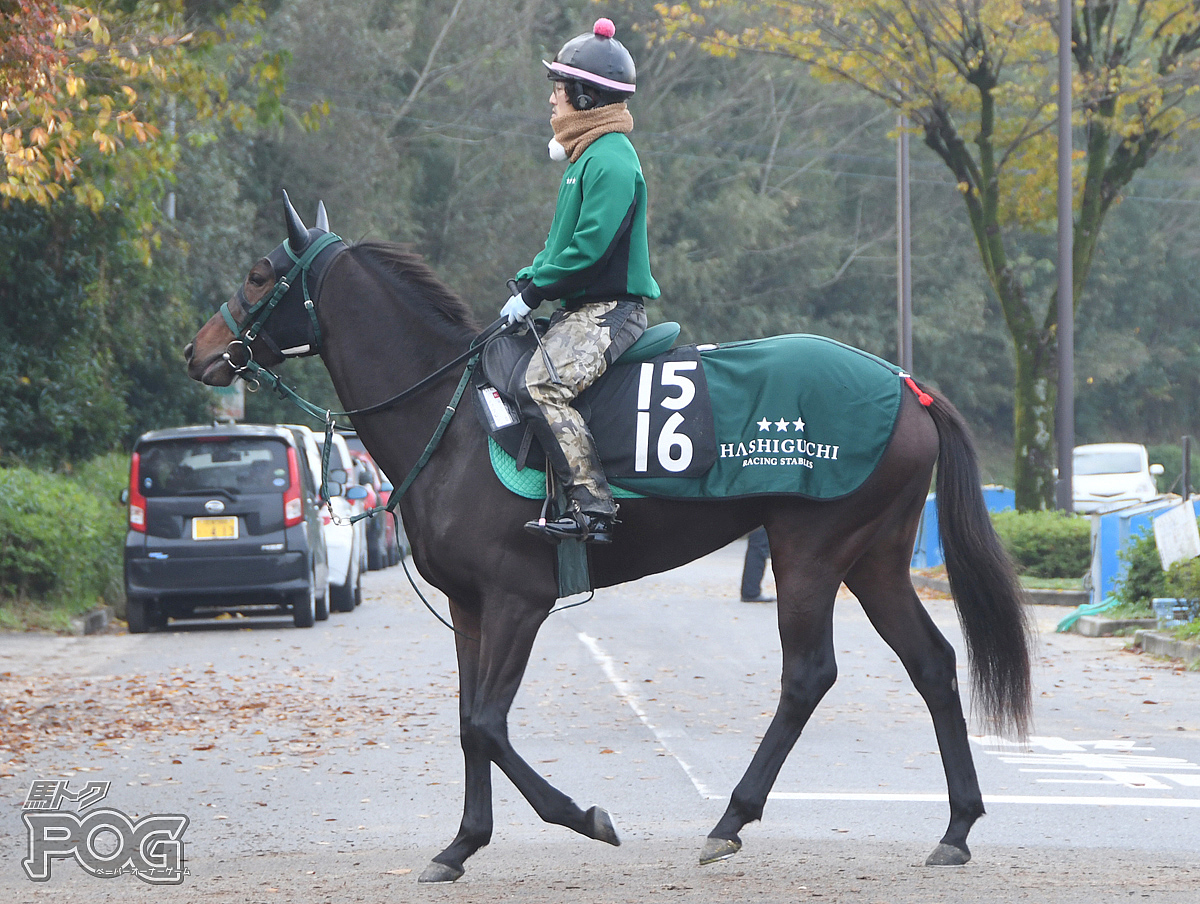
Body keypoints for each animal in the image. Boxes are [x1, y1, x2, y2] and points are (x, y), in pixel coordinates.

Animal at [184, 196, 1032, 883]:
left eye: (260, 274)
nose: (199, 350)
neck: (455, 421)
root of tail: (907, 386)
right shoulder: (469, 607)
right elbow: (467, 723)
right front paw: (461, 843)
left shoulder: (518, 601)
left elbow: (487, 724)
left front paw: (582, 818)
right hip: (876, 558)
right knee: (931, 663)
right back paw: (956, 827)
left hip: (813, 551)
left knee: (807, 677)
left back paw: (731, 819)